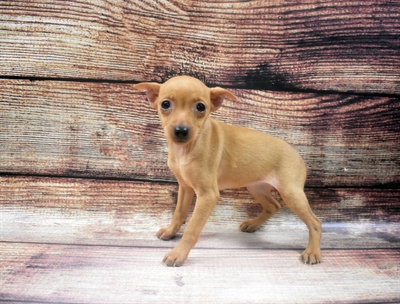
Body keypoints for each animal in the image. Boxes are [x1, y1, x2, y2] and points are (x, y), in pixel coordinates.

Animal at [134, 75, 322, 266]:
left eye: (201, 107)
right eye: (165, 104)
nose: (181, 131)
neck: (186, 149)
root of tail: (298, 155)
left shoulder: (207, 195)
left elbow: (192, 228)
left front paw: (178, 253)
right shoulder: (185, 187)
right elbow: (179, 213)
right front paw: (170, 232)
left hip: (291, 193)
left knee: (315, 222)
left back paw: (312, 252)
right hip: (256, 187)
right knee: (273, 206)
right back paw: (252, 225)